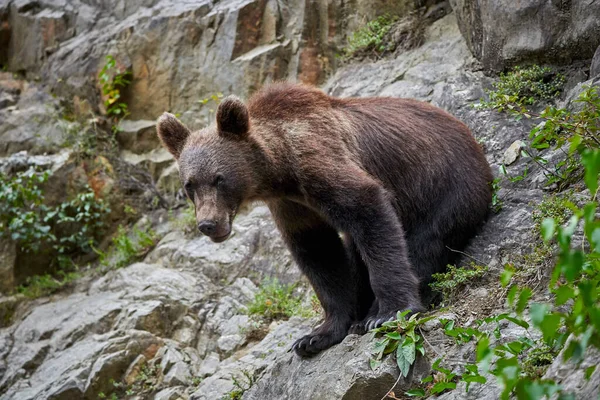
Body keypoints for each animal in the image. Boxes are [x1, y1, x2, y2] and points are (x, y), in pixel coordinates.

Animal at [156, 83, 492, 358]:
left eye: (219, 178)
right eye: (189, 185)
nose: (208, 224)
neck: (279, 171)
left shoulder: (320, 161)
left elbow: (367, 209)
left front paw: (388, 312)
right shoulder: (293, 206)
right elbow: (320, 255)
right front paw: (316, 335)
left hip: (444, 189)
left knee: (424, 245)